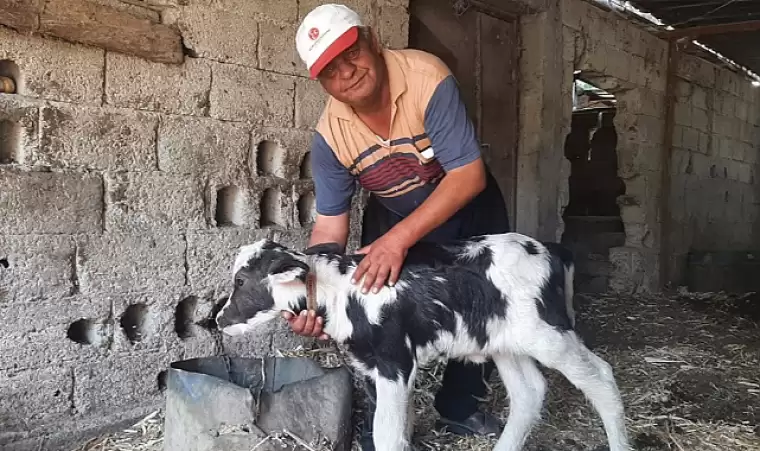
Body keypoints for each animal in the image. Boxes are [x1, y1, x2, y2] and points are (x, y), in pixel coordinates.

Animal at [214, 233, 628, 451]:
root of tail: (551, 249)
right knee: (529, 392)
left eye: (241, 281)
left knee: (601, 376)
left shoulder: (395, 360)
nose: (218, 320)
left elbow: (388, 434)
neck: (341, 293)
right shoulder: (372, 366)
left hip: (549, 333)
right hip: (503, 341)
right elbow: (394, 429)